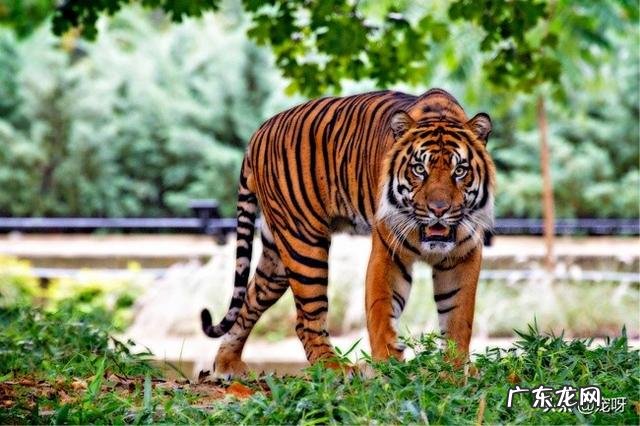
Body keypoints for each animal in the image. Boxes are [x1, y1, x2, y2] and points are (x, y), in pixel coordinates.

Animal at [201, 88, 495, 377]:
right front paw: (388, 368)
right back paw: (335, 368)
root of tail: (259, 131)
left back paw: (227, 364)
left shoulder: (463, 256)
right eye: (419, 169)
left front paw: (454, 371)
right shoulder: (388, 252)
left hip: (277, 257)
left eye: (460, 171)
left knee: (250, 300)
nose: (439, 209)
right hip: (304, 244)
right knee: (306, 320)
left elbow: (458, 317)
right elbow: (382, 311)